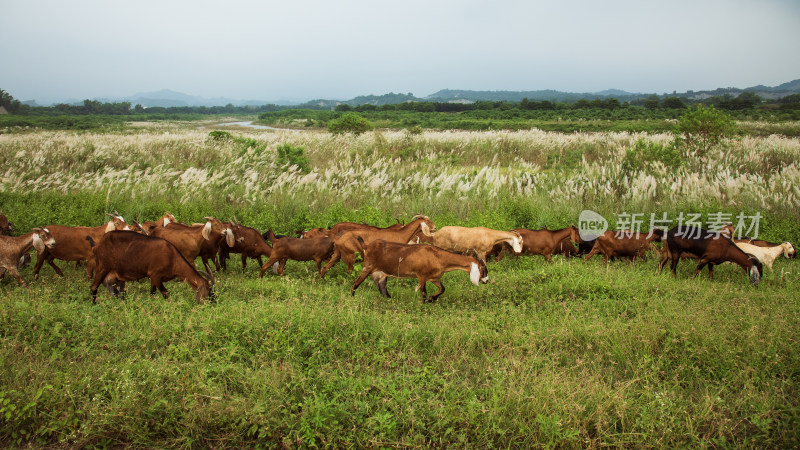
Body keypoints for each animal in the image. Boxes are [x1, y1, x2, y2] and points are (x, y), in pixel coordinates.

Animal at [354, 236, 490, 302]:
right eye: (484, 269)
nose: (487, 280)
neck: (439, 256)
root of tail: (367, 246)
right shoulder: (421, 276)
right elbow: (423, 292)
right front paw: (424, 304)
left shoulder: (434, 278)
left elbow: (442, 289)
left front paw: (432, 299)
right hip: (367, 267)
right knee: (356, 283)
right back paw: (352, 297)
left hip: (381, 273)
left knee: (382, 288)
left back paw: (389, 300)